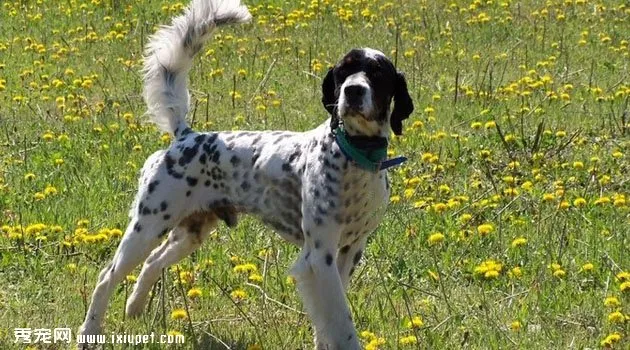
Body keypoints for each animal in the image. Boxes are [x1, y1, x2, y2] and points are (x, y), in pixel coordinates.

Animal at [79, 0, 414, 348]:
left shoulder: (349, 251)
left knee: (151, 263)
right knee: (105, 278)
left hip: (189, 233)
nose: (353, 91)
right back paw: (89, 332)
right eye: (342, 72)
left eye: (377, 73)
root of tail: (186, 135)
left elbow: (328, 325)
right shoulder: (318, 257)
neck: (355, 157)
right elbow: (342, 325)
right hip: (146, 228)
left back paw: (134, 309)